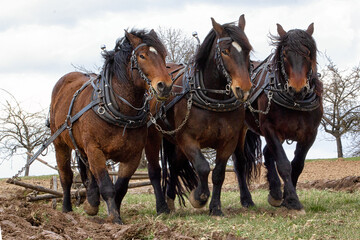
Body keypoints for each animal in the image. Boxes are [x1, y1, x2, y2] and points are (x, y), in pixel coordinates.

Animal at [50, 29, 173, 224]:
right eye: (142, 56)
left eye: (163, 55)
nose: (165, 86)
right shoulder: (95, 150)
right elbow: (107, 186)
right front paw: (115, 218)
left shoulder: (133, 155)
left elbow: (120, 187)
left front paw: (113, 211)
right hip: (60, 144)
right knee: (66, 177)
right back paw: (66, 209)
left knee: (89, 174)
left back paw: (91, 203)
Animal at [145, 15, 255, 216]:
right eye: (225, 51)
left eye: (247, 50)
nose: (243, 89)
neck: (214, 99)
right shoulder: (188, 139)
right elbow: (203, 167)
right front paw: (199, 197)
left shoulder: (229, 140)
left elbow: (218, 173)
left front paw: (215, 207)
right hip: (152, 137)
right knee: (155, 170)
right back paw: (162, 207)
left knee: (174, 166)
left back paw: (170, 200)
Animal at [233, 22, 324, 210]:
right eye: (285, 53)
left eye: (308, 53)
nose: (297, 88)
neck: (295, 102)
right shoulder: (270, 129)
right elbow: (283, 163)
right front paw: (292, 200)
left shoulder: (310, 134)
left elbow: (297, 165)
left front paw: (286, 198)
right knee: (240, 163)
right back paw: (247, 199)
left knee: (267, 153)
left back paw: (275, 192)